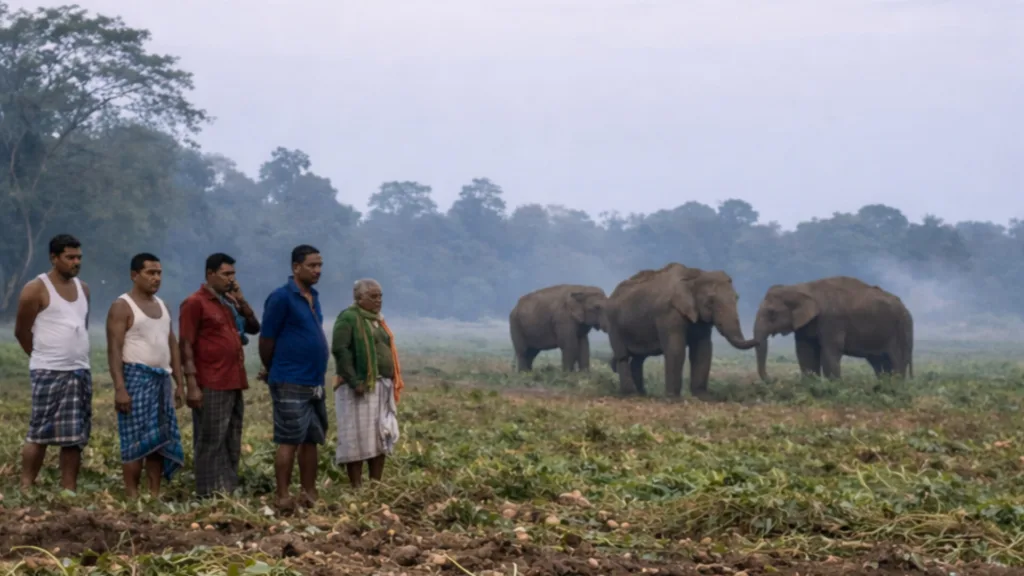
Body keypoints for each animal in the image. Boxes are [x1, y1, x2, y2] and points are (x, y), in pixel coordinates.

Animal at [603, 263, 757, 398]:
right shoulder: (668, 313)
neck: (694, 275)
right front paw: (673, 399)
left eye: (737, 297)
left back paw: (643, 394)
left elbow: (703, 350)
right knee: (623, 356)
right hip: (613, 323)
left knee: (638, 359)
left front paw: (704, 397)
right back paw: (632, 394)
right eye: (710, 301)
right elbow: (675, 349)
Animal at [752, 276, 914, 381]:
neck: (801, 287)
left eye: (772, 313)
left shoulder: (832, 320)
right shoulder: (805, 326)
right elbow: (805, 352)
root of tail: (906, 308)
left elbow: (831, 351)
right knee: (880, 362)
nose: (774, 379)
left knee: (897, 362)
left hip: (902, 329)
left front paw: (834, 386)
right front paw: (812, 385)